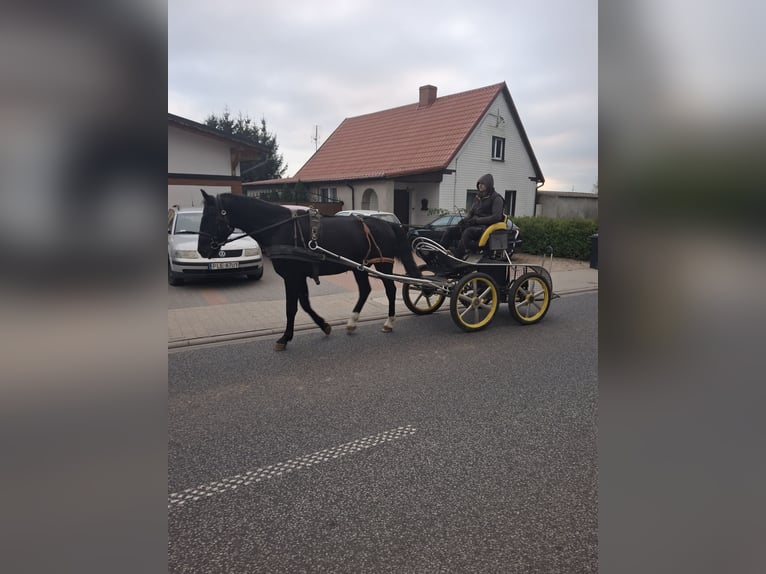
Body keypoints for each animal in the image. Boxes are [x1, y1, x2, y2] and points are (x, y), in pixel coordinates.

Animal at [198, 192, 424, 352]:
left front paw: (284, 338)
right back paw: (352, 322)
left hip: (382, 264)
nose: (202, 250)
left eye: (211, 218)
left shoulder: (292, 276)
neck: (280, 228)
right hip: (360, 266)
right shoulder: (299, 276)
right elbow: (305, 303)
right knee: (365, 290)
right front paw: (324, 325)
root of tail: (387, 223)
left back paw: (389, 322)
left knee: (390, 290)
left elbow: (292, 308)